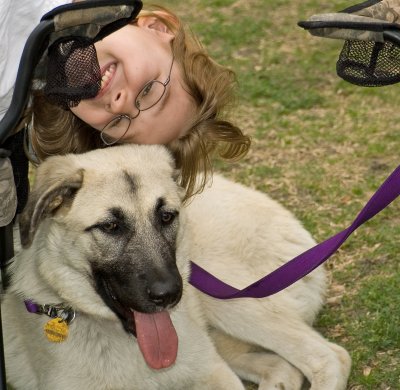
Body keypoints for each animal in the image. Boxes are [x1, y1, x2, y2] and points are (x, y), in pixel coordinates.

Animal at [1, 145, 350, 388]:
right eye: (111, 226)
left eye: (167, 216)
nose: (168, 295)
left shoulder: (212, 372)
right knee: (285, 366)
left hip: (232, 300)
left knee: (330, 357)